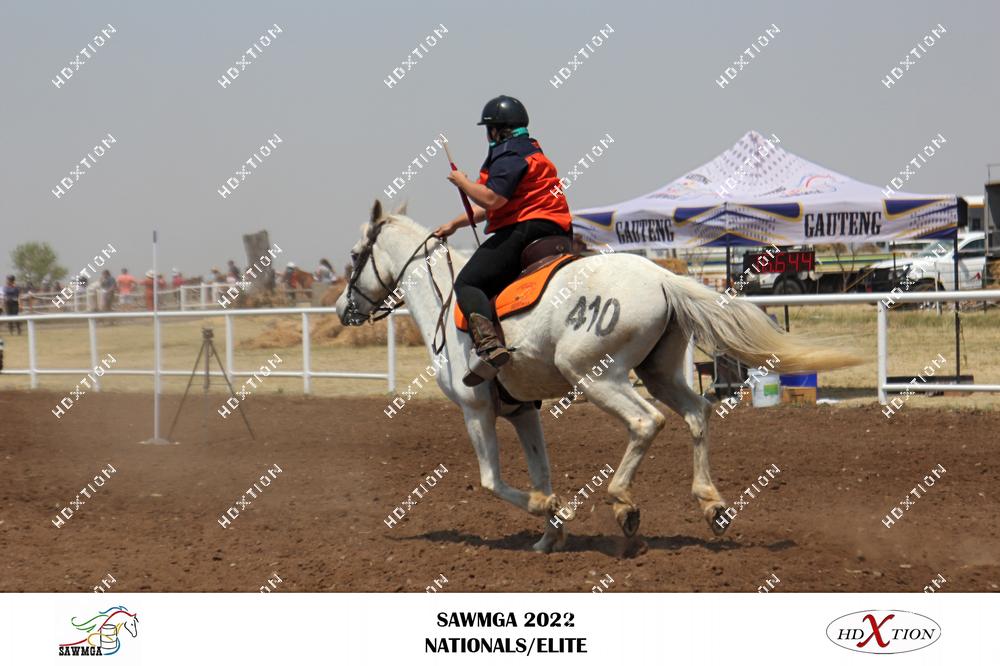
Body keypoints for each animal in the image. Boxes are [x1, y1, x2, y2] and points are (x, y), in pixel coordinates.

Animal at [337, 200, 860, 553]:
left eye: (355, 255)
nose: (344, 308)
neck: (446, 301)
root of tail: (663, 277)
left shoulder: (477, 410)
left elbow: (492, 482)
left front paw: (549, 510)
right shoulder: (522, 412)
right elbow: (541, 470)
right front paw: (549, 537)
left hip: (596, 376)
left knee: (647, 423)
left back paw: (624, 502)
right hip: (660, 374)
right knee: (698, 414)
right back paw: (710, 503)